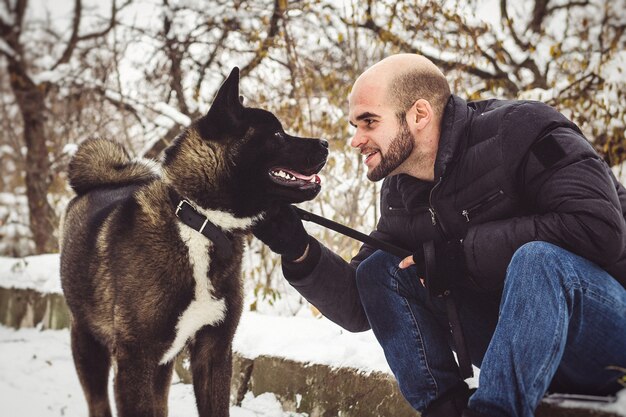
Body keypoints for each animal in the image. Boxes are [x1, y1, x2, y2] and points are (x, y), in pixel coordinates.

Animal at [59, 66, 326, 414]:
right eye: (278, 135)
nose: (325, 143)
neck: (200, 223)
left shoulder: (214, 352)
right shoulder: (134, 361)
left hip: (162, 366)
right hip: (89, 346)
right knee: (98, 404)